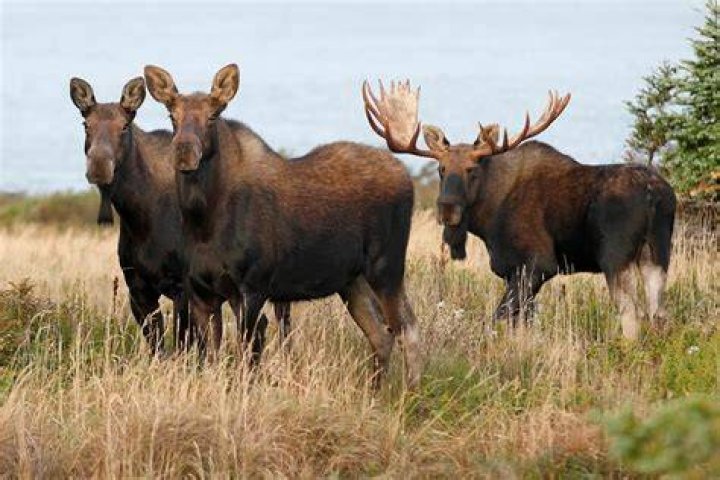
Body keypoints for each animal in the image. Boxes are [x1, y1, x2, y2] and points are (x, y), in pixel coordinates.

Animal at [143, 64, 421, 388]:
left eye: (212, 116)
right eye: (171, 115)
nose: (184, 151)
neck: (203, 223)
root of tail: (406, 175)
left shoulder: (252, 288)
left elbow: (247, 358)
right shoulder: (201, 293)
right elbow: (210, 360)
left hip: (386, 268)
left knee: (408, 330)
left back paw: (410, 395)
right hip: (353, 281)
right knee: (381, 335)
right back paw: (374, 392)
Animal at [363, 80, 676, 340]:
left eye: (472, 169)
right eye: (441, 169)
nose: (447, 208)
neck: (488, 218)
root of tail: (655, 195)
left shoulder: (538, 264)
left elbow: (498, 318)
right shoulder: (516, 271)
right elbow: (521, 322)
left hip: (615, 256)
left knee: (631, 313)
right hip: (656, 253)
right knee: (658, 312)